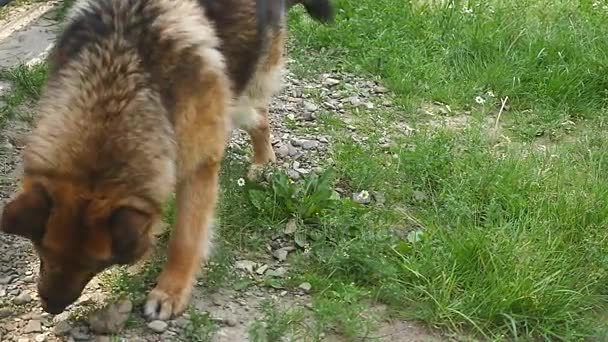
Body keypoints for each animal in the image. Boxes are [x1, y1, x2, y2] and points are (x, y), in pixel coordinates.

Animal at [0, 0, 332, 320]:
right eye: (42, 250)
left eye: (98, 263)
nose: (51, 307)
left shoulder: (198, 167)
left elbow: (185, 239)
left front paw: (170, 291)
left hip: (240, 95)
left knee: (258, 115)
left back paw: (264, 161)